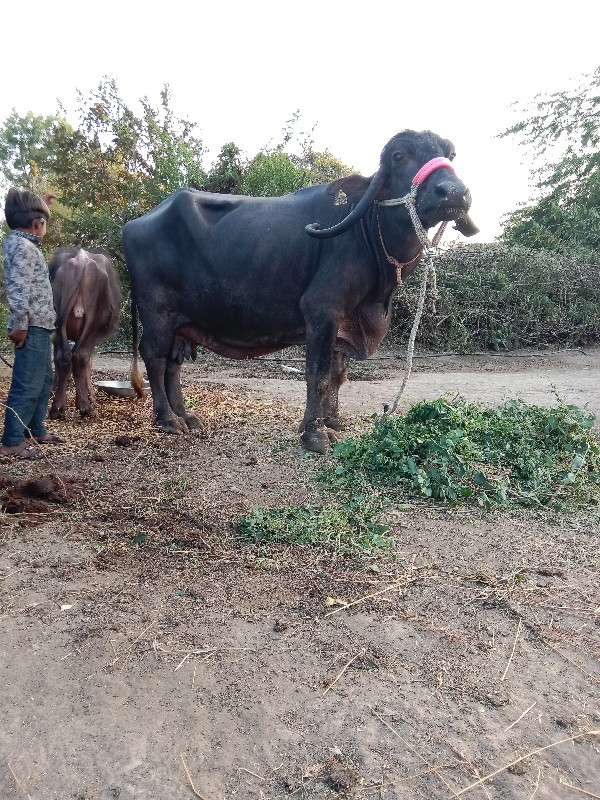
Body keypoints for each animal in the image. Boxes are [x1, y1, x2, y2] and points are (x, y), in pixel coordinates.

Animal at [48, 247, 121, 418]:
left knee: (64, 357)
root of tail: (80, 258)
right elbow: (88, 363)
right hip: (93, 324)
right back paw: (85, 407)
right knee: (80, 356)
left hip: (59, 324)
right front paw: (91, 395)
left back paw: (57, 408)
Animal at [123, 134, 478, 454]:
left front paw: (333, 422)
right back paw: (167, 420)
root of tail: (133, 224)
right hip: (157, 315)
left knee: (173, 365)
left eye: (451, 154)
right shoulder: (322, 311)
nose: (453, 192)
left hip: (181, 324)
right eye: (399, 156)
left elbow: (337, 376)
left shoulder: (343, 322)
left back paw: (186, 416)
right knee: (154, 358)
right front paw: (315, 435)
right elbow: (317, 376)